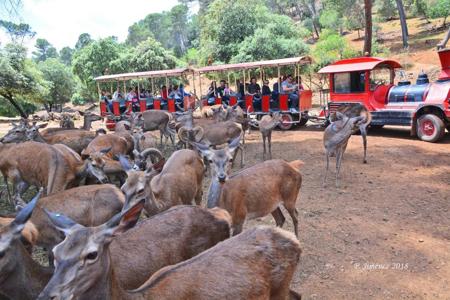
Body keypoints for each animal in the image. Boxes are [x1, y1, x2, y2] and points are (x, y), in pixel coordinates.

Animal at [37, 199, 300, 300]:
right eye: (55, 253)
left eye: (91, 254)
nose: (46, 295)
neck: (138, 296)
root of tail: (293, 241)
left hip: (279, 289)